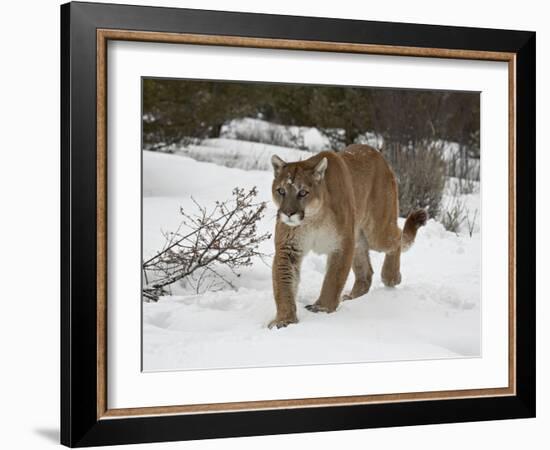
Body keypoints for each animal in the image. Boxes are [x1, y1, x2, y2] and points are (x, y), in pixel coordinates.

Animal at [270, 146, 430, 328]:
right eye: (281, 191)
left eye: (303, 192)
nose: (288, 213)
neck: (312, 219)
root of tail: (376, 152)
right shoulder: (288, 248)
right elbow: (284, 285)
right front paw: (284, 320)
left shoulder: (342, 244)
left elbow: (333, 280)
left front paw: (322, 308)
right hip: (358, 239)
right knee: (366, 272)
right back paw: (352, 298)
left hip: (377, 231)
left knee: (396, 237)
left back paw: (391, 277)